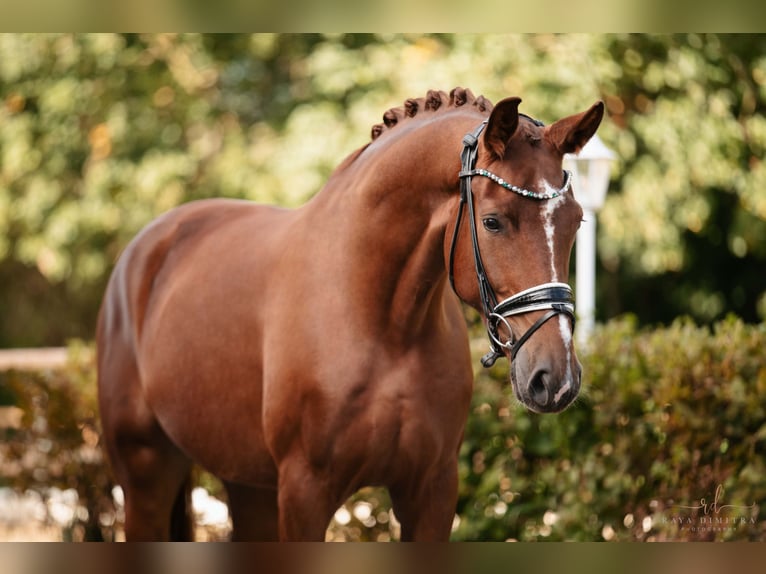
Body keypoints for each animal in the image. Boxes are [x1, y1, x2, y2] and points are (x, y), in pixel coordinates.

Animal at [97, 88, 608, 544]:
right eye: (493, 221)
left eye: (576, 221)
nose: (555, 378)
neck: (383, 325)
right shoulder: (304, 493)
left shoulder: (432, 491)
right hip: (146, 479)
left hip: (247, 485)